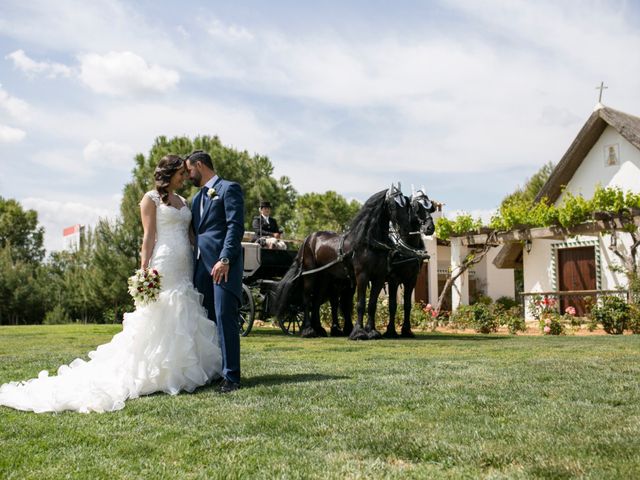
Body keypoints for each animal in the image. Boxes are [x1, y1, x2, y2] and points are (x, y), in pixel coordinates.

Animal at [276, 186, 416, 340]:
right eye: (393, 204)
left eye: (406, 204)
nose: (407, 229)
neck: (369, 242)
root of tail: (308, 239)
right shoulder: (362, 275)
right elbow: (361, 304)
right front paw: (358, 332)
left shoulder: (379, 277)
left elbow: (372, 304)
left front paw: (372, 331)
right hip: (310, 275)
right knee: (307, 299)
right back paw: (308, 330)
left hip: (324, 278)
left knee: (317, 301)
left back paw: (319, 329)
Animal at [382, 189, 438, 340]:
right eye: (416, 207)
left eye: (431, 207)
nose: (429, 228)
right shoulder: (393, 279)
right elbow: (392, 304)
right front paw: (391, 331)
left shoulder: (412, 279)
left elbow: (407, 305)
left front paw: (406, 330)